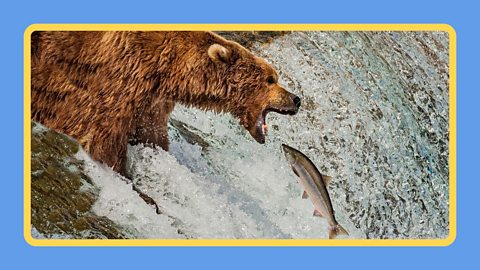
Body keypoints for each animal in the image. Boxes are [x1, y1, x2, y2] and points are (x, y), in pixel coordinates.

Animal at [31, 31, 300, 175]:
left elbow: (152, 136)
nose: (296, 99)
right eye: (270, 79)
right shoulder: (123, 74)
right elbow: (103, 137)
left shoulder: (151, 102)